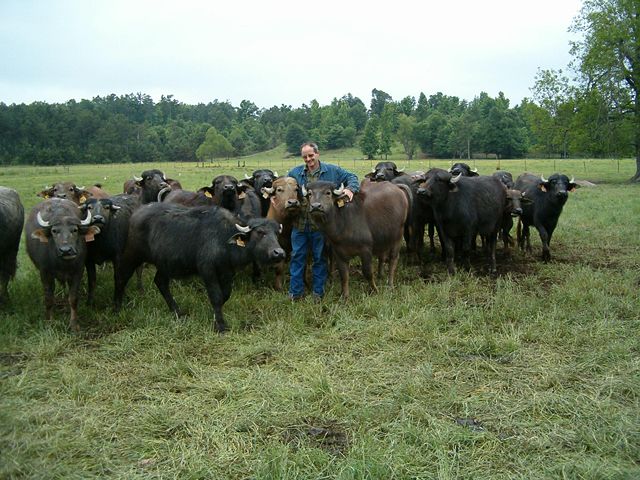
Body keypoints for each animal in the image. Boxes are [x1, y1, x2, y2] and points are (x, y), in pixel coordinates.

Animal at [25, 197, 100, 328]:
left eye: (75, 230)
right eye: (54, 231)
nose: (66, 250)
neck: (62, 263)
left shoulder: (78, 271)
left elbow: (73, 298)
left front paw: (74, 324)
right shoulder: (44, 273)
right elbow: (49, 298)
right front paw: (49, 322)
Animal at [114, 202, 286, 330]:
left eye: (276, 233)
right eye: (260, 232)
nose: (279, 253)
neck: (223, 238)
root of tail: (135, 214)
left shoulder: (227, 271)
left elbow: (225, 295)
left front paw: (215, 316)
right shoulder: (207, 270)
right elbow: (216, 296)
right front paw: (220, 325)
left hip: (165, 263)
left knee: (160, 282)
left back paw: (177, 312)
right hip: (131, 255)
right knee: (121, 277)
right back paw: (117, 307)